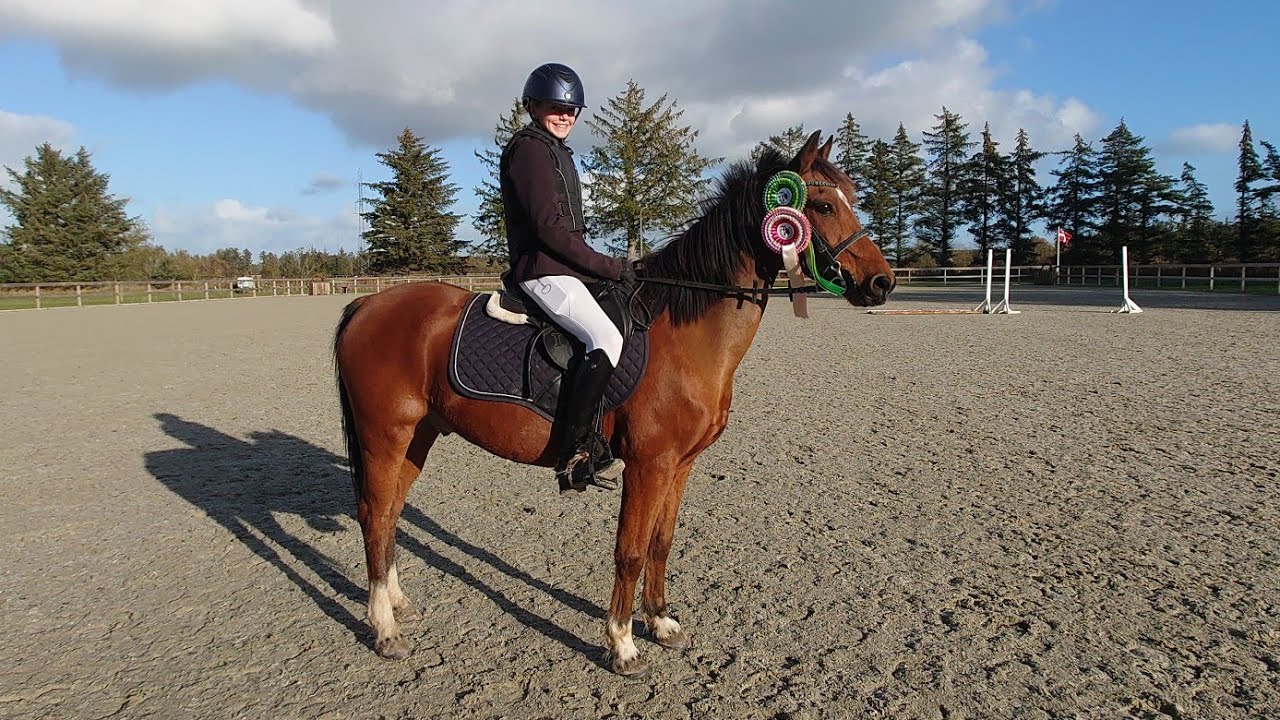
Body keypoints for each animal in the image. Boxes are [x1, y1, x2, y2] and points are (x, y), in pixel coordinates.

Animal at [333, 130, 895, 676]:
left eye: (852, 196)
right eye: (822, 206)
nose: (882, 282)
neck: (685, 332)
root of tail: (368, 303)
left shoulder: (680, 465)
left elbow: (661, 543)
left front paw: (662, 622)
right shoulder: (648, 464)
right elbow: (630, 550)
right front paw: (623, 644)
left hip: (418, 436)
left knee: (389, 513)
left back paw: (398, 604)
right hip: (385, 436)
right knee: (374, 513)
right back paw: (385, 630)